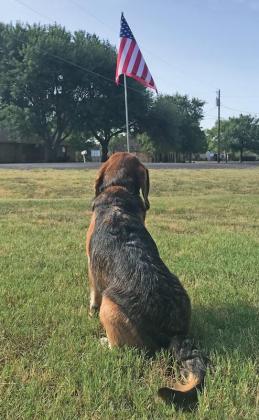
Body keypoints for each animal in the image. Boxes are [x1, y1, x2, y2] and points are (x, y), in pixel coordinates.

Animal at [87, 153, 207, 402]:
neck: (118, 189)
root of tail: (176, 332)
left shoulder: (90, 266)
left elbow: (93, 294)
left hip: (110, 308)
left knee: (122, 348)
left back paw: (104, 342)